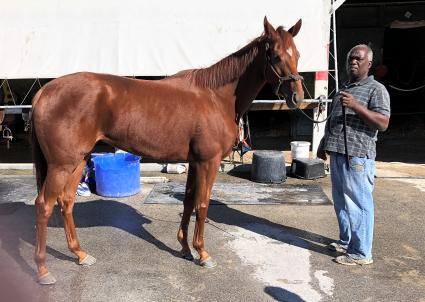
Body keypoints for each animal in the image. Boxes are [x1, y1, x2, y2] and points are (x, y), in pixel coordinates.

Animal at [31, 16, 304, 284]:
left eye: (298, 54)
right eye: (276, 56)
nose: (297, 97)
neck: (216, 97)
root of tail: (44, 92)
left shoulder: (195, 162)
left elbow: (188, 201)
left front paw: (185, 248)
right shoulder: (208, 162)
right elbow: (202, 204)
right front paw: (203, 253)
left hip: (78, 160)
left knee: (66, 201)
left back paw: (80, 254)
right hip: (61, 165)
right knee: (44, 205)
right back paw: (43, 269)